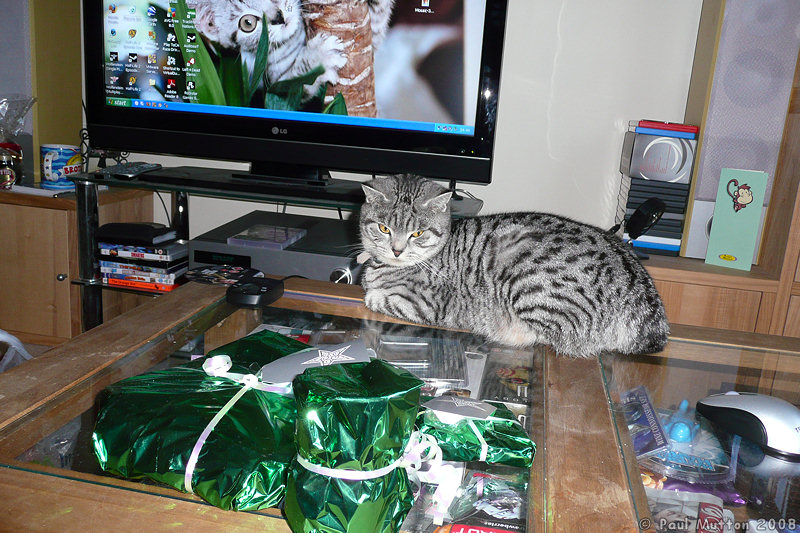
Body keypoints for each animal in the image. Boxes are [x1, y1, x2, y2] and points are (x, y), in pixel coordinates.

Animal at [360, 176, 668, 358]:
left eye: (418, 233)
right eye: (384, 228)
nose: (397, 249)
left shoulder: (426, 303)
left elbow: (377, 298)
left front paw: (372, 292)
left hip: (531, 285)